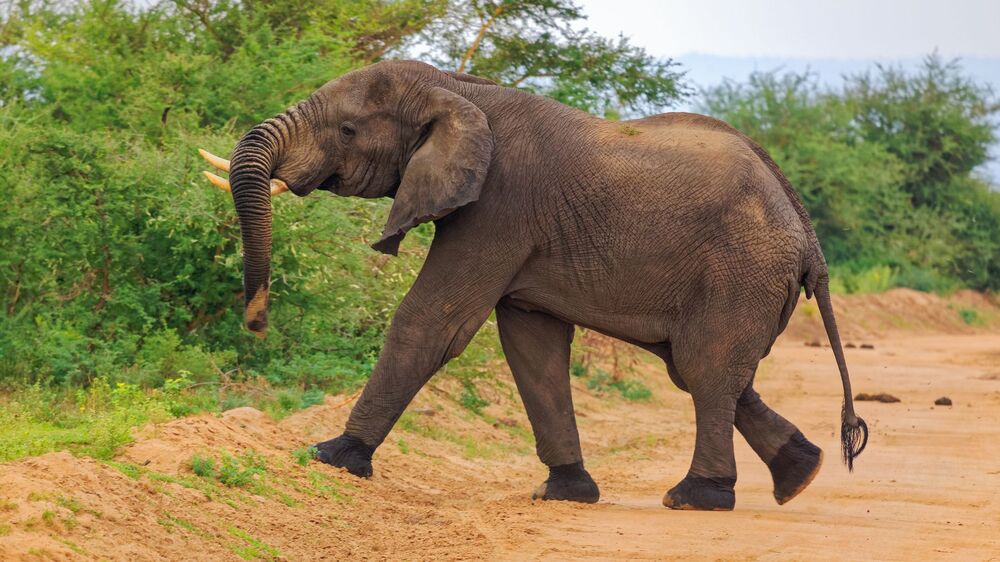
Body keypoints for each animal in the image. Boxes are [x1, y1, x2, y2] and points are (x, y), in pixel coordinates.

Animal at [199, 59, 868, 511]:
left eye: (346, 131)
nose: (256, 322)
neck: (457, 88)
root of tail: (807, 236)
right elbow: (532, 349)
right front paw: (565, 493)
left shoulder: (498, 207)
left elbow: (433, 322)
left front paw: (332, 456)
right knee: (710, 373)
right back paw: (800, 475)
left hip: (740, 271)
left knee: (706, 370)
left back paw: (696, 497)